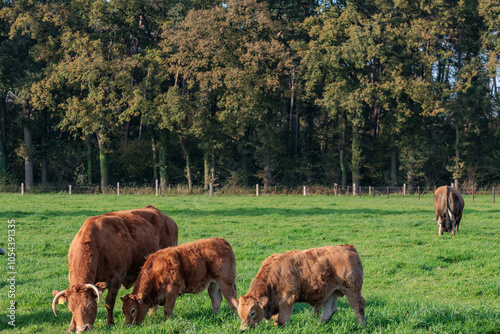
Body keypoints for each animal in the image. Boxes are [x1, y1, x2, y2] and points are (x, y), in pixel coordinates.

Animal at [236, 244, 366, 330]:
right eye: (240, 314)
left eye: (252, 313)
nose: (243, 330)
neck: (274, 276)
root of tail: (347, 247)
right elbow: (276, 319)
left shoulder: (287, 301)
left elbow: (282, 320)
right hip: (331, 293)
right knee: (329, 309)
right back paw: (319, 325)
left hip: (352, 289)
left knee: (358, 306)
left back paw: (361, 325)